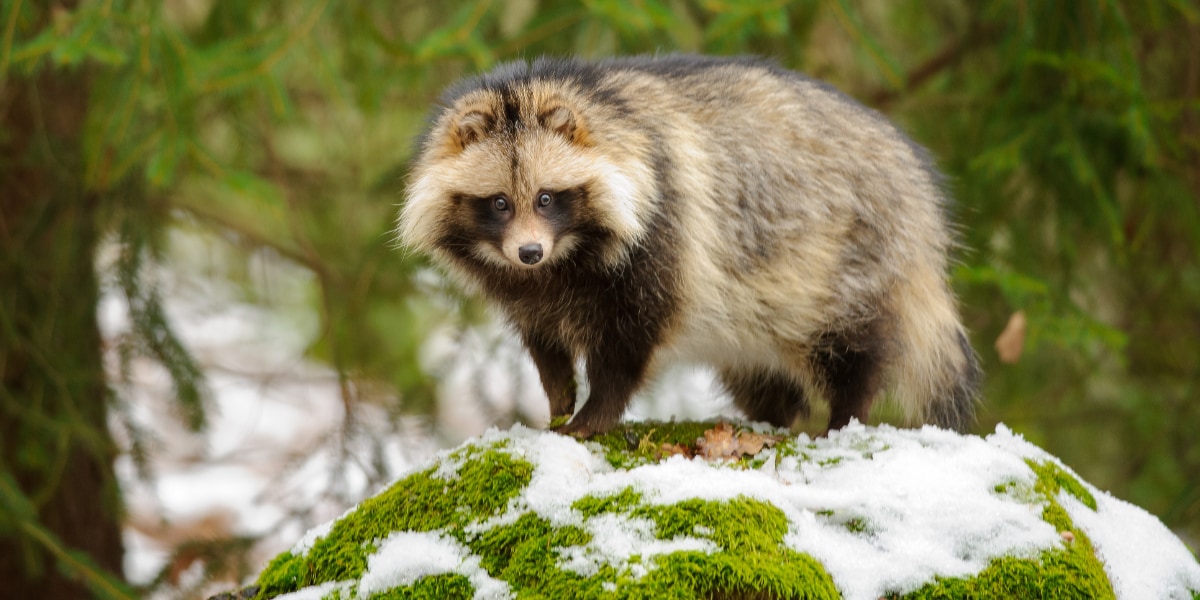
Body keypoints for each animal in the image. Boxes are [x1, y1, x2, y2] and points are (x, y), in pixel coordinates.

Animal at [398, 55, 979, 436]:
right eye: (499, 203)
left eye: (546, 198)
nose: (529, 253)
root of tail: (919, 190)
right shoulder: (525, 288)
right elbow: (544, 342)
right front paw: (559, 398)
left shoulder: (664, 230)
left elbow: (631, 340)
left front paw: (594, 413)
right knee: (763, 373)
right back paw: (771, 417)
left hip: (849, 258)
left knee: (854, 348)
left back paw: (845, 415)